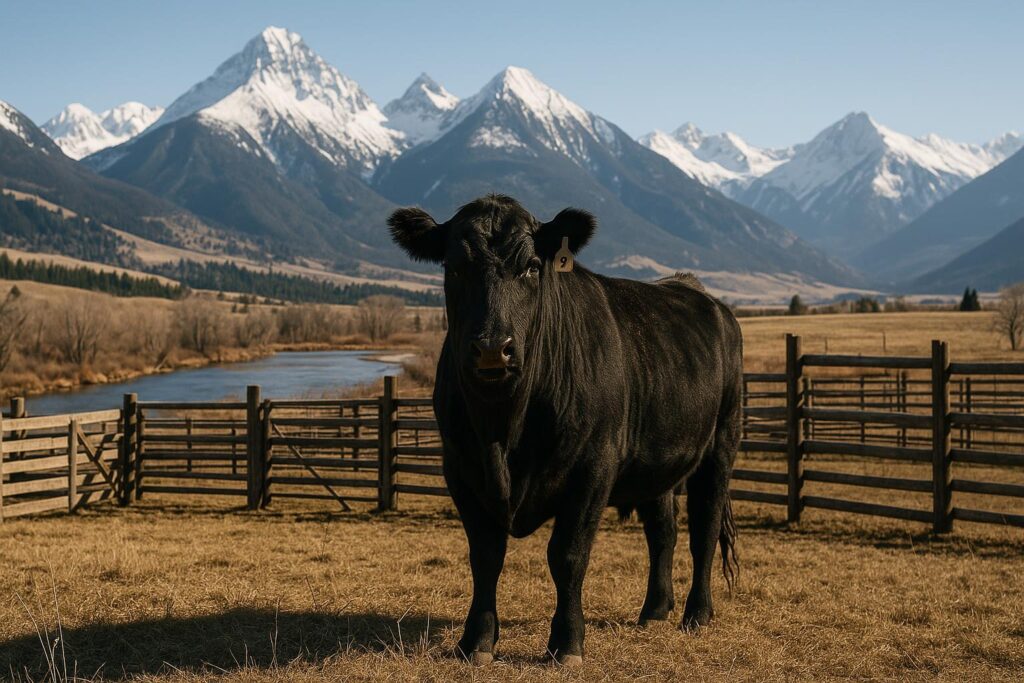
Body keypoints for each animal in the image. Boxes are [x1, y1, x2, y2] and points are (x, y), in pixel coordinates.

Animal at [388, 194, 742, 666]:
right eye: (455, 267)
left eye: (532, 266)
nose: (492, 348)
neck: (504, 432)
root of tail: (696, 291)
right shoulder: (460, 468)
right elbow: (485, 556)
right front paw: (475, 641)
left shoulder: (592, 468)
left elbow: (568, 555)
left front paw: (567, 642)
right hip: (658, 461)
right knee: (662, 531)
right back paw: (654, 610)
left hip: (720, 445)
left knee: (703, 529)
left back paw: (697, 614)